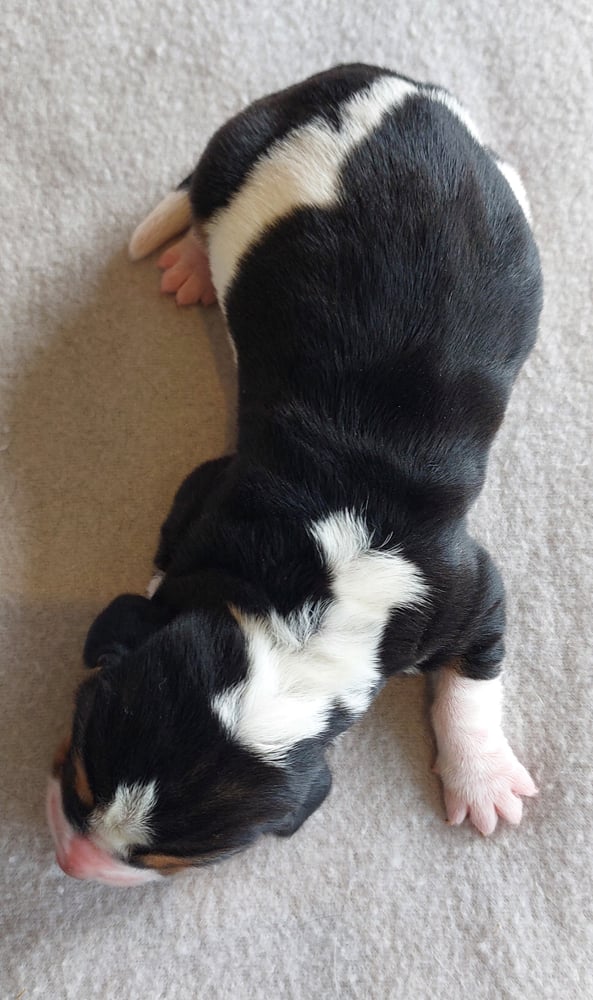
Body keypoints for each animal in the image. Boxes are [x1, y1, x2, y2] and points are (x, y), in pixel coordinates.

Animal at [47, 64, 542, 886]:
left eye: (176, 857)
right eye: (81, 779)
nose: (76, 863)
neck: (298, 614)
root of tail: (387, 85)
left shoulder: (466, 593)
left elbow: (474, 678)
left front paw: (484, 783)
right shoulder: (207, 489)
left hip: (508, 180)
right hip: (241, 143)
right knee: (201, 191)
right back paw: (191, 262)